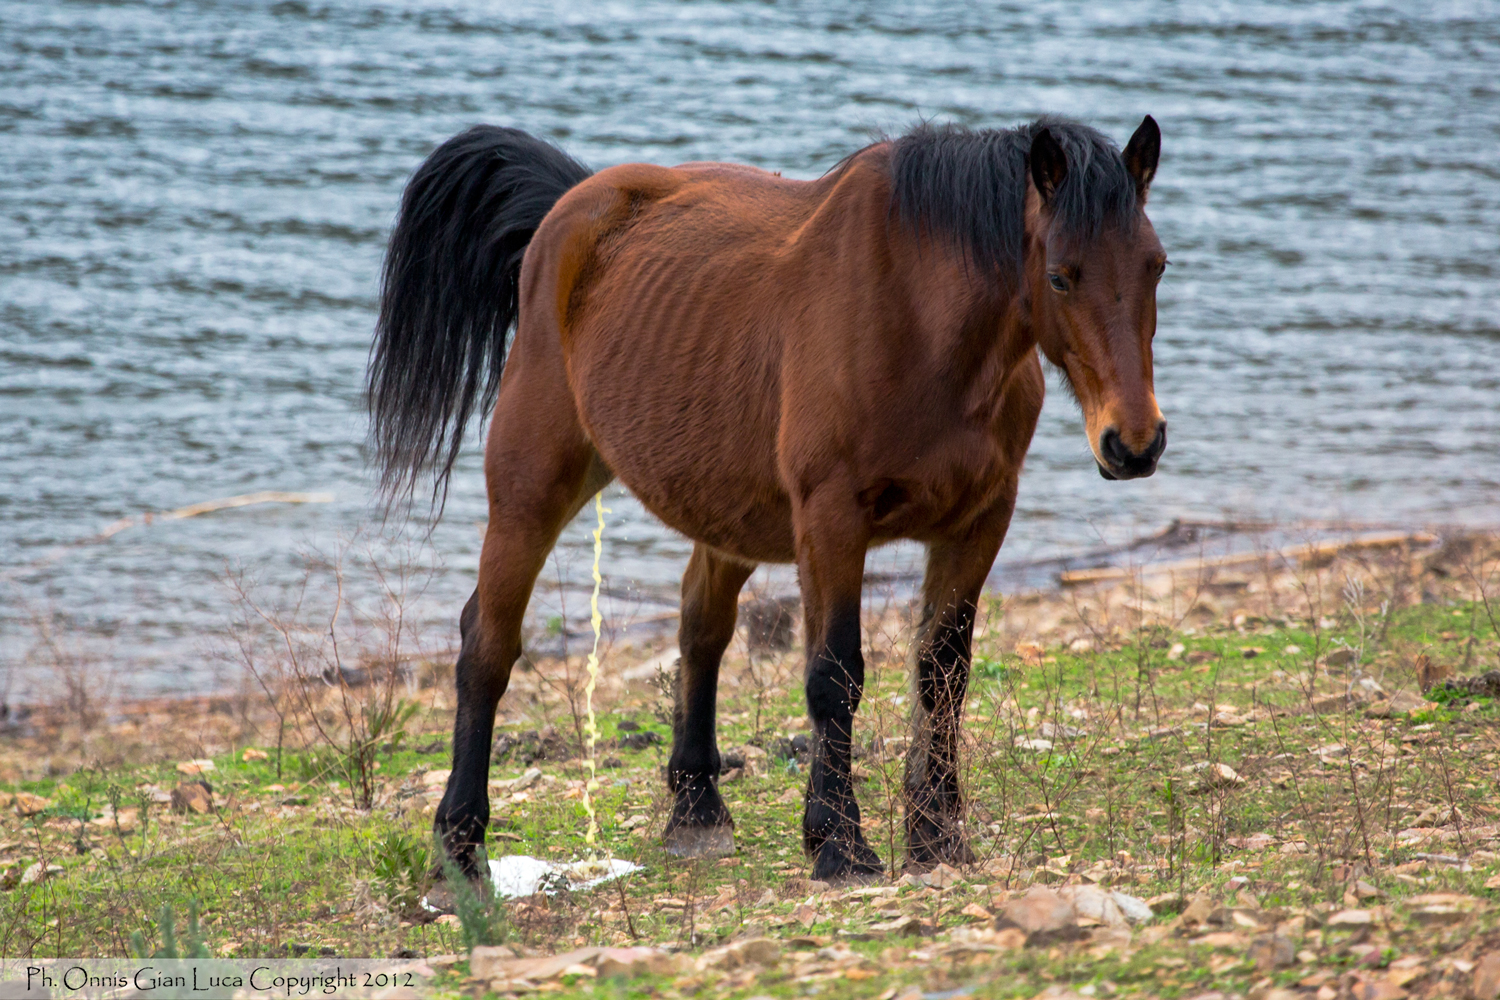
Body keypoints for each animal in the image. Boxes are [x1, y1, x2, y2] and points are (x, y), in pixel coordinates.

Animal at [368, 114, 1168, 885]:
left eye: (1155, 265)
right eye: (1060, 277)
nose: (1134, 443)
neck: (917, 319)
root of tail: (569, 209)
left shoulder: (979, 521)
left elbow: (943, 674)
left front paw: (937, 837)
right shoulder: (831, 520)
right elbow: (835, 675)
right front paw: (840, 844)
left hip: (724, 508)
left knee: (700, 625)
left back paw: (696, 810)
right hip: (532, 487)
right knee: (487, 645)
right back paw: (458, 851)